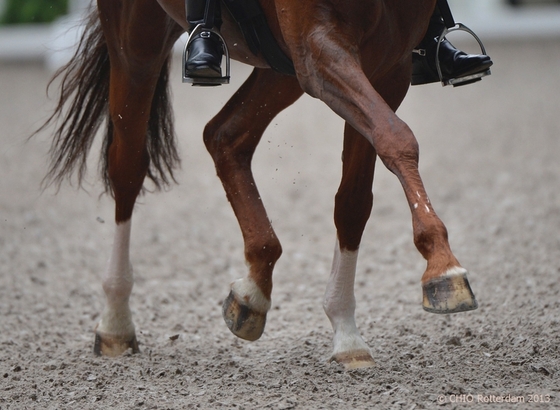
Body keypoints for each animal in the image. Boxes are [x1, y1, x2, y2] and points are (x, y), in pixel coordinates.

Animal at [40, 0, 476, 370]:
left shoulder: (388, 66)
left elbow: (355, 199)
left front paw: (346, 332)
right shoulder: (320, 49)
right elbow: (397, 137)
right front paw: (443, 267)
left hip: (281, 69)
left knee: (224, 136)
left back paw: (253, 290)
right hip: (136, 39)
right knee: (128, 167)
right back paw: (115, 322)